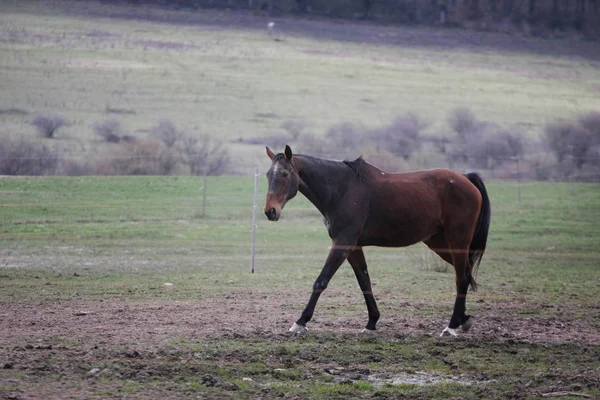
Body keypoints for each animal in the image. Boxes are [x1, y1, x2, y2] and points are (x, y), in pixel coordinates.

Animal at [264, 145, 490, 336]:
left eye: (285, 174)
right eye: (268, 175)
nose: (270, 211)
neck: (342, 189)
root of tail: (465, 178)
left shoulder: (343, 243)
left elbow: (321, 280)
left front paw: (300, 322)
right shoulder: (354, 247)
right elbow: (364, 281)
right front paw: (372, 322)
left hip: (457, 242)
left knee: (461, 279)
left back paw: (451, 326)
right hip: (440, 243)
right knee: (466, 274)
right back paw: (463, 320)